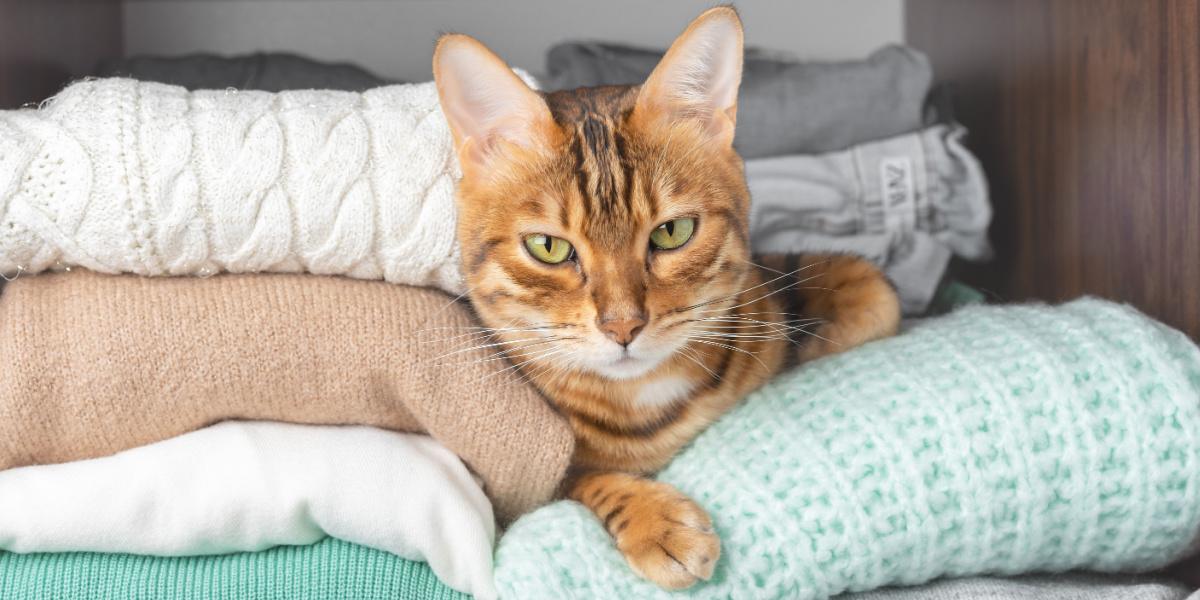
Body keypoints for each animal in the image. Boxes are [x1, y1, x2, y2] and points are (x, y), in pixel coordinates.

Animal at [434, 5, 902, 590]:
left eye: (672, 232)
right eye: (548, 247)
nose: (623, 326)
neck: (645, 398)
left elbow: (869, 292)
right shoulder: (534, 484)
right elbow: (585, 481)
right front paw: (655, 521)